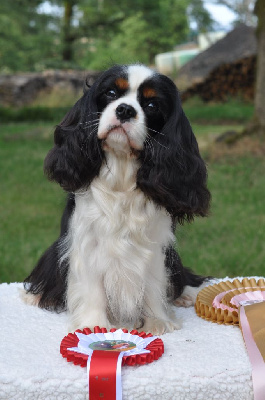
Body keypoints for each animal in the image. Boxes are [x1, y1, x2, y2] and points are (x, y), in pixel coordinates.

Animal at [24, 63, 210, 334]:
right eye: (111, 93)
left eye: (152, 105)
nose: (125, 109)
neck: (122, 169)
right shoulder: (87, 242)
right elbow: (92, 288)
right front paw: (93, 326)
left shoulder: (155, 245)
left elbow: (153, 283)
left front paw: (157, 322)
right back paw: (36, 295)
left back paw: (185, 294)